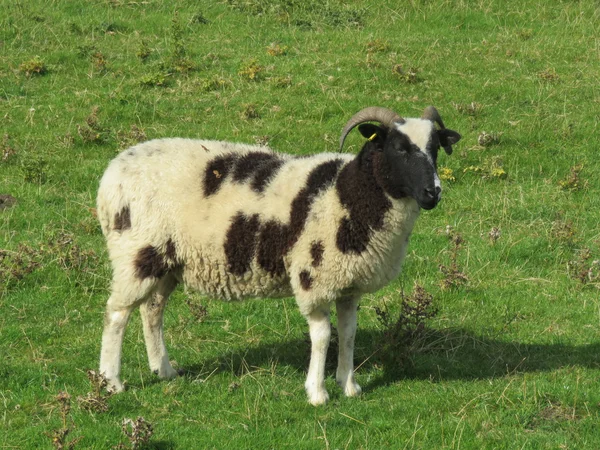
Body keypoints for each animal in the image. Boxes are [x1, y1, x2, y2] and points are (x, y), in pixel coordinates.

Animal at [96, 106, 462, 408]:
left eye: (434, 149)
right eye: (399, 148)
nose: (432, 193)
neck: (346, 193)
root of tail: (113, 171)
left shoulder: (349, 285)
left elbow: (348, 332)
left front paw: (349, 384)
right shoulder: (314, 277)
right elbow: (323, 335)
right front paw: (317, 392)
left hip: (166, 261)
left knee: (151, 310)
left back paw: (164, 369)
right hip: (136, 253)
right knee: (117, 314)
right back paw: (112, 381)